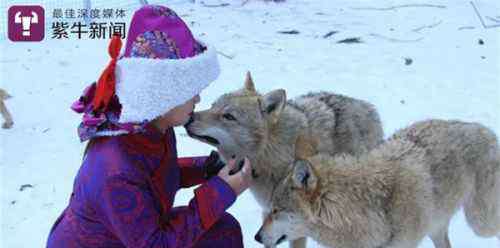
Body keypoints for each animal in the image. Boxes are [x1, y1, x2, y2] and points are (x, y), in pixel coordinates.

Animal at [186, 71, 384, 248]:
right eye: (213, 105)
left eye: (228, 116)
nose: (188, 119)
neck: (275, 154)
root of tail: (368, 107)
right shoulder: (269, 213)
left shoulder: (294, 222)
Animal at [256, 119, 500, 247]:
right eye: (269, 209)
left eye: (276, 210)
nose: (256, 237)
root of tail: (486, 130)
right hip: (437, 227)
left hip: (480, 224)